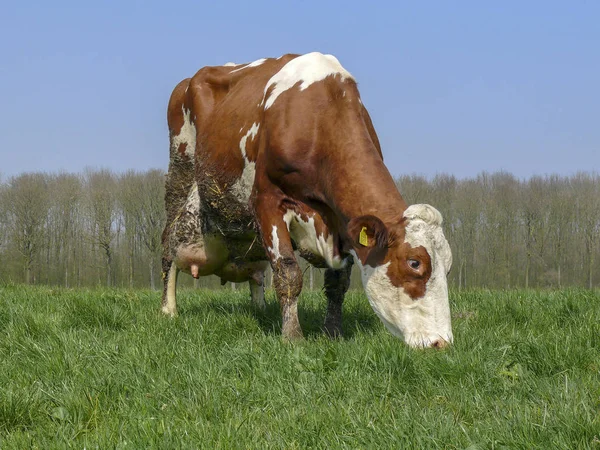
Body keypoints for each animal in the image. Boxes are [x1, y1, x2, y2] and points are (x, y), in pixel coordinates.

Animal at [162, 51, 452, 348]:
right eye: (414, 263)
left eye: (449, 267)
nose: (442, 342)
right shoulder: (267, 202)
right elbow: (287, 272)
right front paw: (292, 336)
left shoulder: (342, 222)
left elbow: (338, 283)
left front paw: (333, 332)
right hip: (180, 172)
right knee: (167, 248)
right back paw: (168, 310)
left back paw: (259, 308)